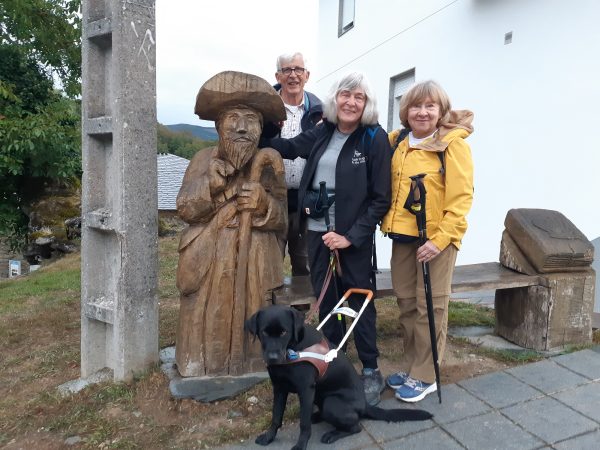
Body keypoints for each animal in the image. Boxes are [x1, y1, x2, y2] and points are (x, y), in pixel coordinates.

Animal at [246, 304, 434, 448]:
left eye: (284, 332)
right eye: (264, 332)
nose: (272, 357)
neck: (293, 350)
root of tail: (364, 405)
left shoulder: (306, 390)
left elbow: (303, 424)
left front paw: (300, 445)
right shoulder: (279, 388)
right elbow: (276, 417)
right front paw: (269, 437)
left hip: (331, 402)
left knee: (356, 426)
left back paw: (332, 434)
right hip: (319, 396)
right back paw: (317, 416)